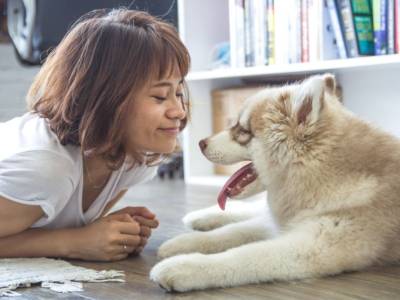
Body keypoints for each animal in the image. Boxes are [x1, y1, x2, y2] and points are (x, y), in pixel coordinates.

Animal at [149, 74, 400, 292]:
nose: (201, 143)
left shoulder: (311, 246)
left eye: (243, 131)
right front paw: (182, 243)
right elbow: (231, 232)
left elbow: (244, 255)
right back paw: (201, 217)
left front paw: (184, 267)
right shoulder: (284, 224)